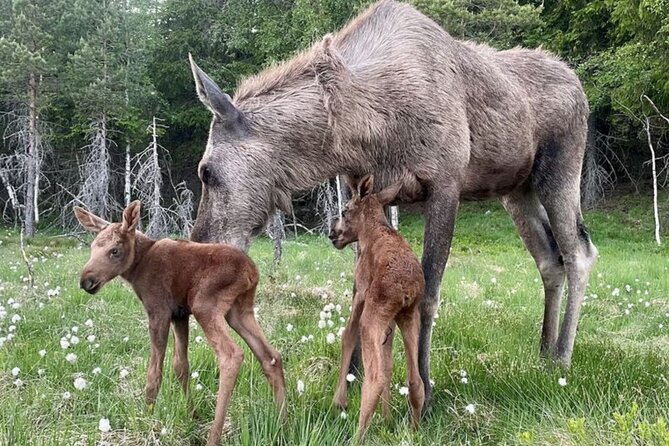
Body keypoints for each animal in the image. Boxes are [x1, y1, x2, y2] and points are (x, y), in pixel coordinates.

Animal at [74, 200, 285, 446]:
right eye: (92, 248)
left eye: (114, 251)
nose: (86, 281)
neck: (138, 267)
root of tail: (252, 271)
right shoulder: (180, 315)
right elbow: (180, 366)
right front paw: (192, 414)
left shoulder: (159, 310)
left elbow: (154, 372)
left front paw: (148, 416)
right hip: (239, 311)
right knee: (270, 356)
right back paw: (283, 422)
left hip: (205, 304)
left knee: (231, 354)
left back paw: (214, 436)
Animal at [329, 175, 425, 442]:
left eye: (344, 210)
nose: (332, 234)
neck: (368, 231)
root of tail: (406, 288)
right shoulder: (390, 321)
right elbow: (389, 358)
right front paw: (387, 417)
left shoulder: (360, 291)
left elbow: (347, 336)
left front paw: (339, 401)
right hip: (409, 315)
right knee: (415, 379)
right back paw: (414, 431)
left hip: (373, 316)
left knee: (375, 378)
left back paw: (357, 436)